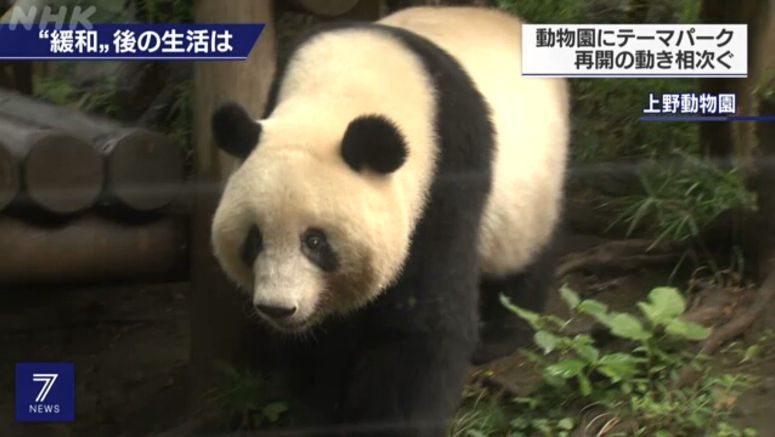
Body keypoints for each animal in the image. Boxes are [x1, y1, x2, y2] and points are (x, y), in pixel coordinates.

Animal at [209, 5, 568, 434]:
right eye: (254, 240)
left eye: (315, 241)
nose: (278, 308)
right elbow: (323, 342)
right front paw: (321, 409)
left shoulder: (447, 172)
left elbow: (420, 321)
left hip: (534, 181)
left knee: (524, 257)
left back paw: (501, 332)